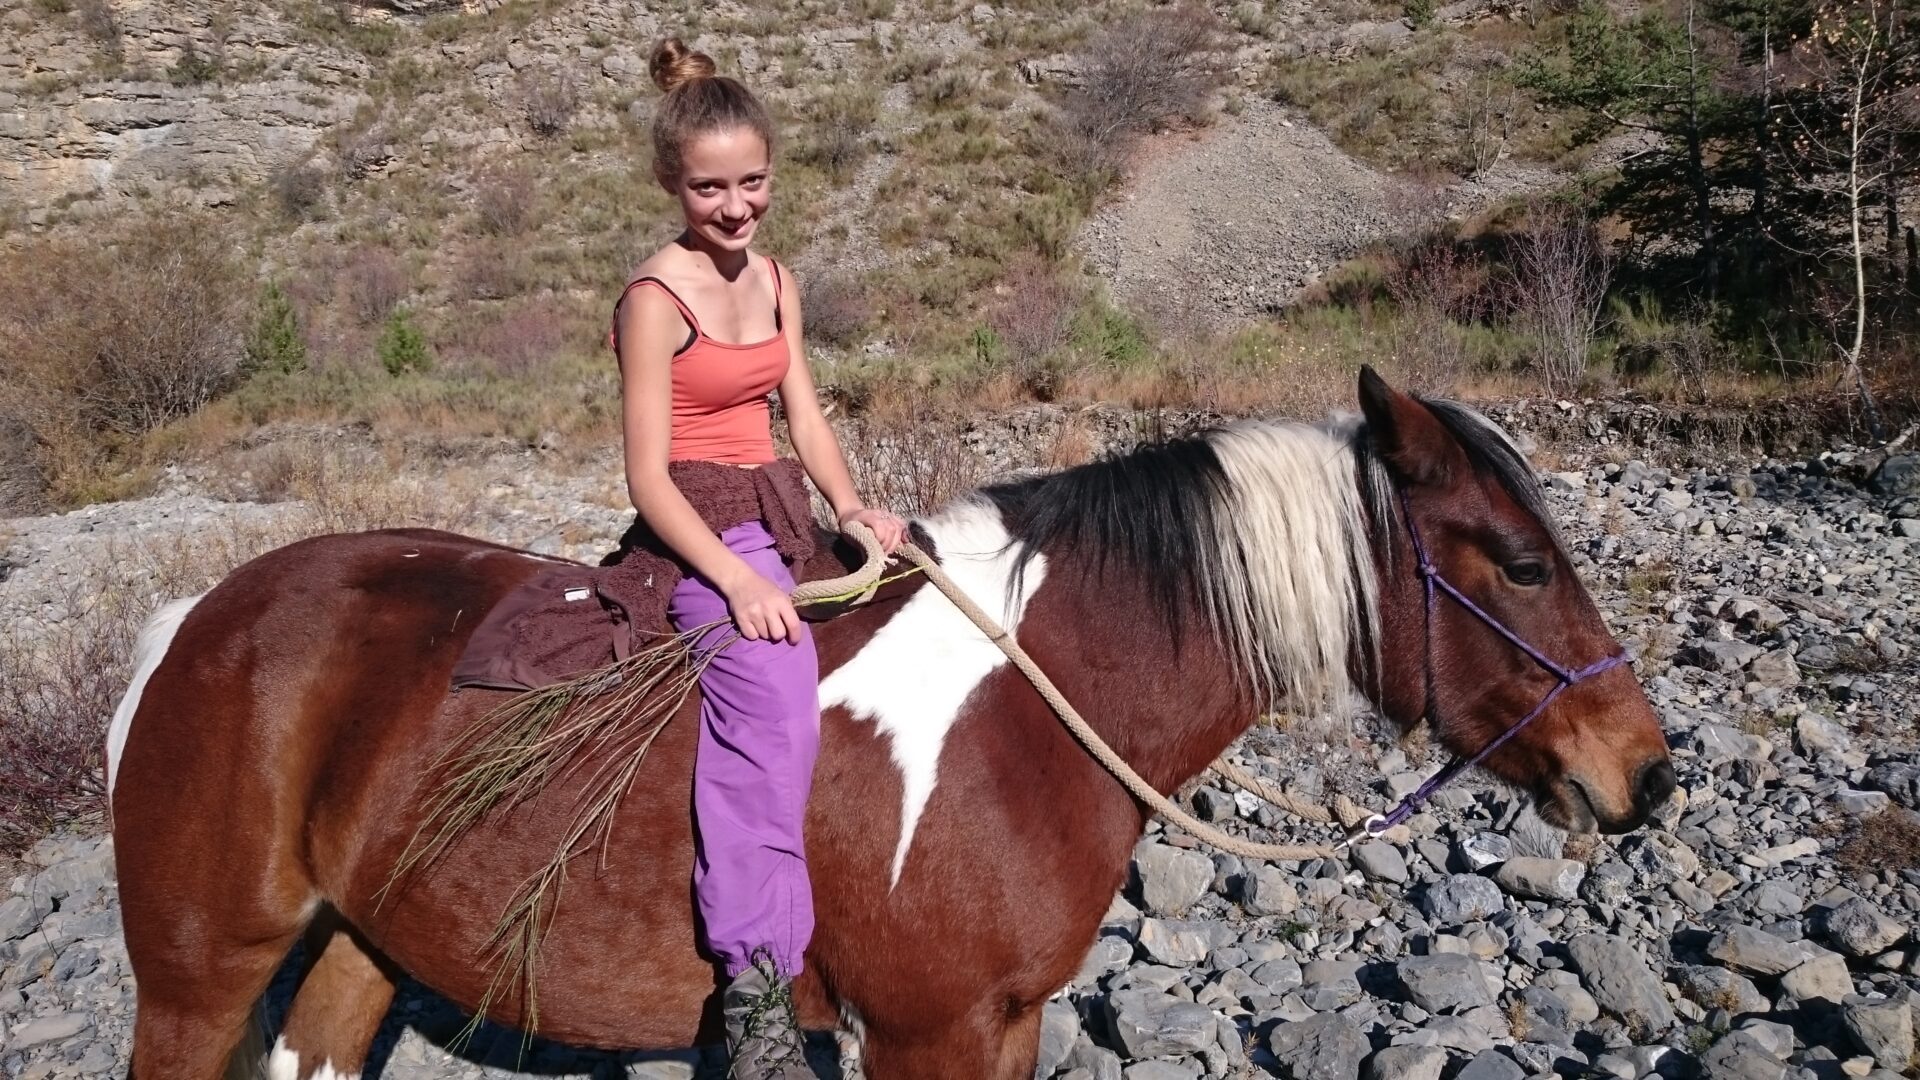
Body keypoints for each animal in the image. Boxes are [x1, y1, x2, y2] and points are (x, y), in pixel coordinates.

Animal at [105, 365, 1674, 1068]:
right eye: (1520, 564)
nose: (1649, 774)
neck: (1029, 716)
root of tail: (197, 622)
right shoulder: (926, 1031)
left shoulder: (1007, 1023)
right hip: (196, 981)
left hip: (359, 947)